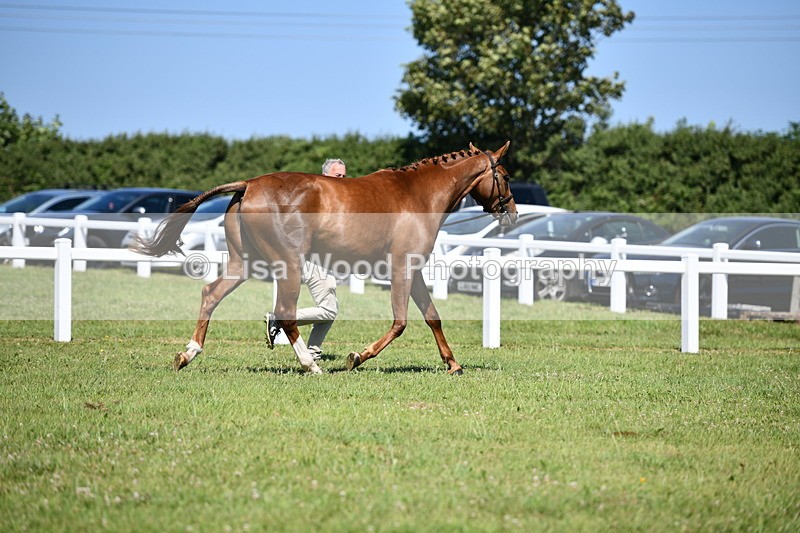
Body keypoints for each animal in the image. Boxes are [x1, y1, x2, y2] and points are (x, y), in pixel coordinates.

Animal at [132, 141, 518, 375]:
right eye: (505, 176)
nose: (511, 212)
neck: (419, 195)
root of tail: (249, 184)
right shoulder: (401, 268)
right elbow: (400, 322)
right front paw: (357, 357)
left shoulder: (415, 270)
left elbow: (432, 317)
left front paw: (453, 364)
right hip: (288, 265)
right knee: (285, 313)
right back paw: (310, 365)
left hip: (244, 263)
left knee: (212, 294)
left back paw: (187, 354)